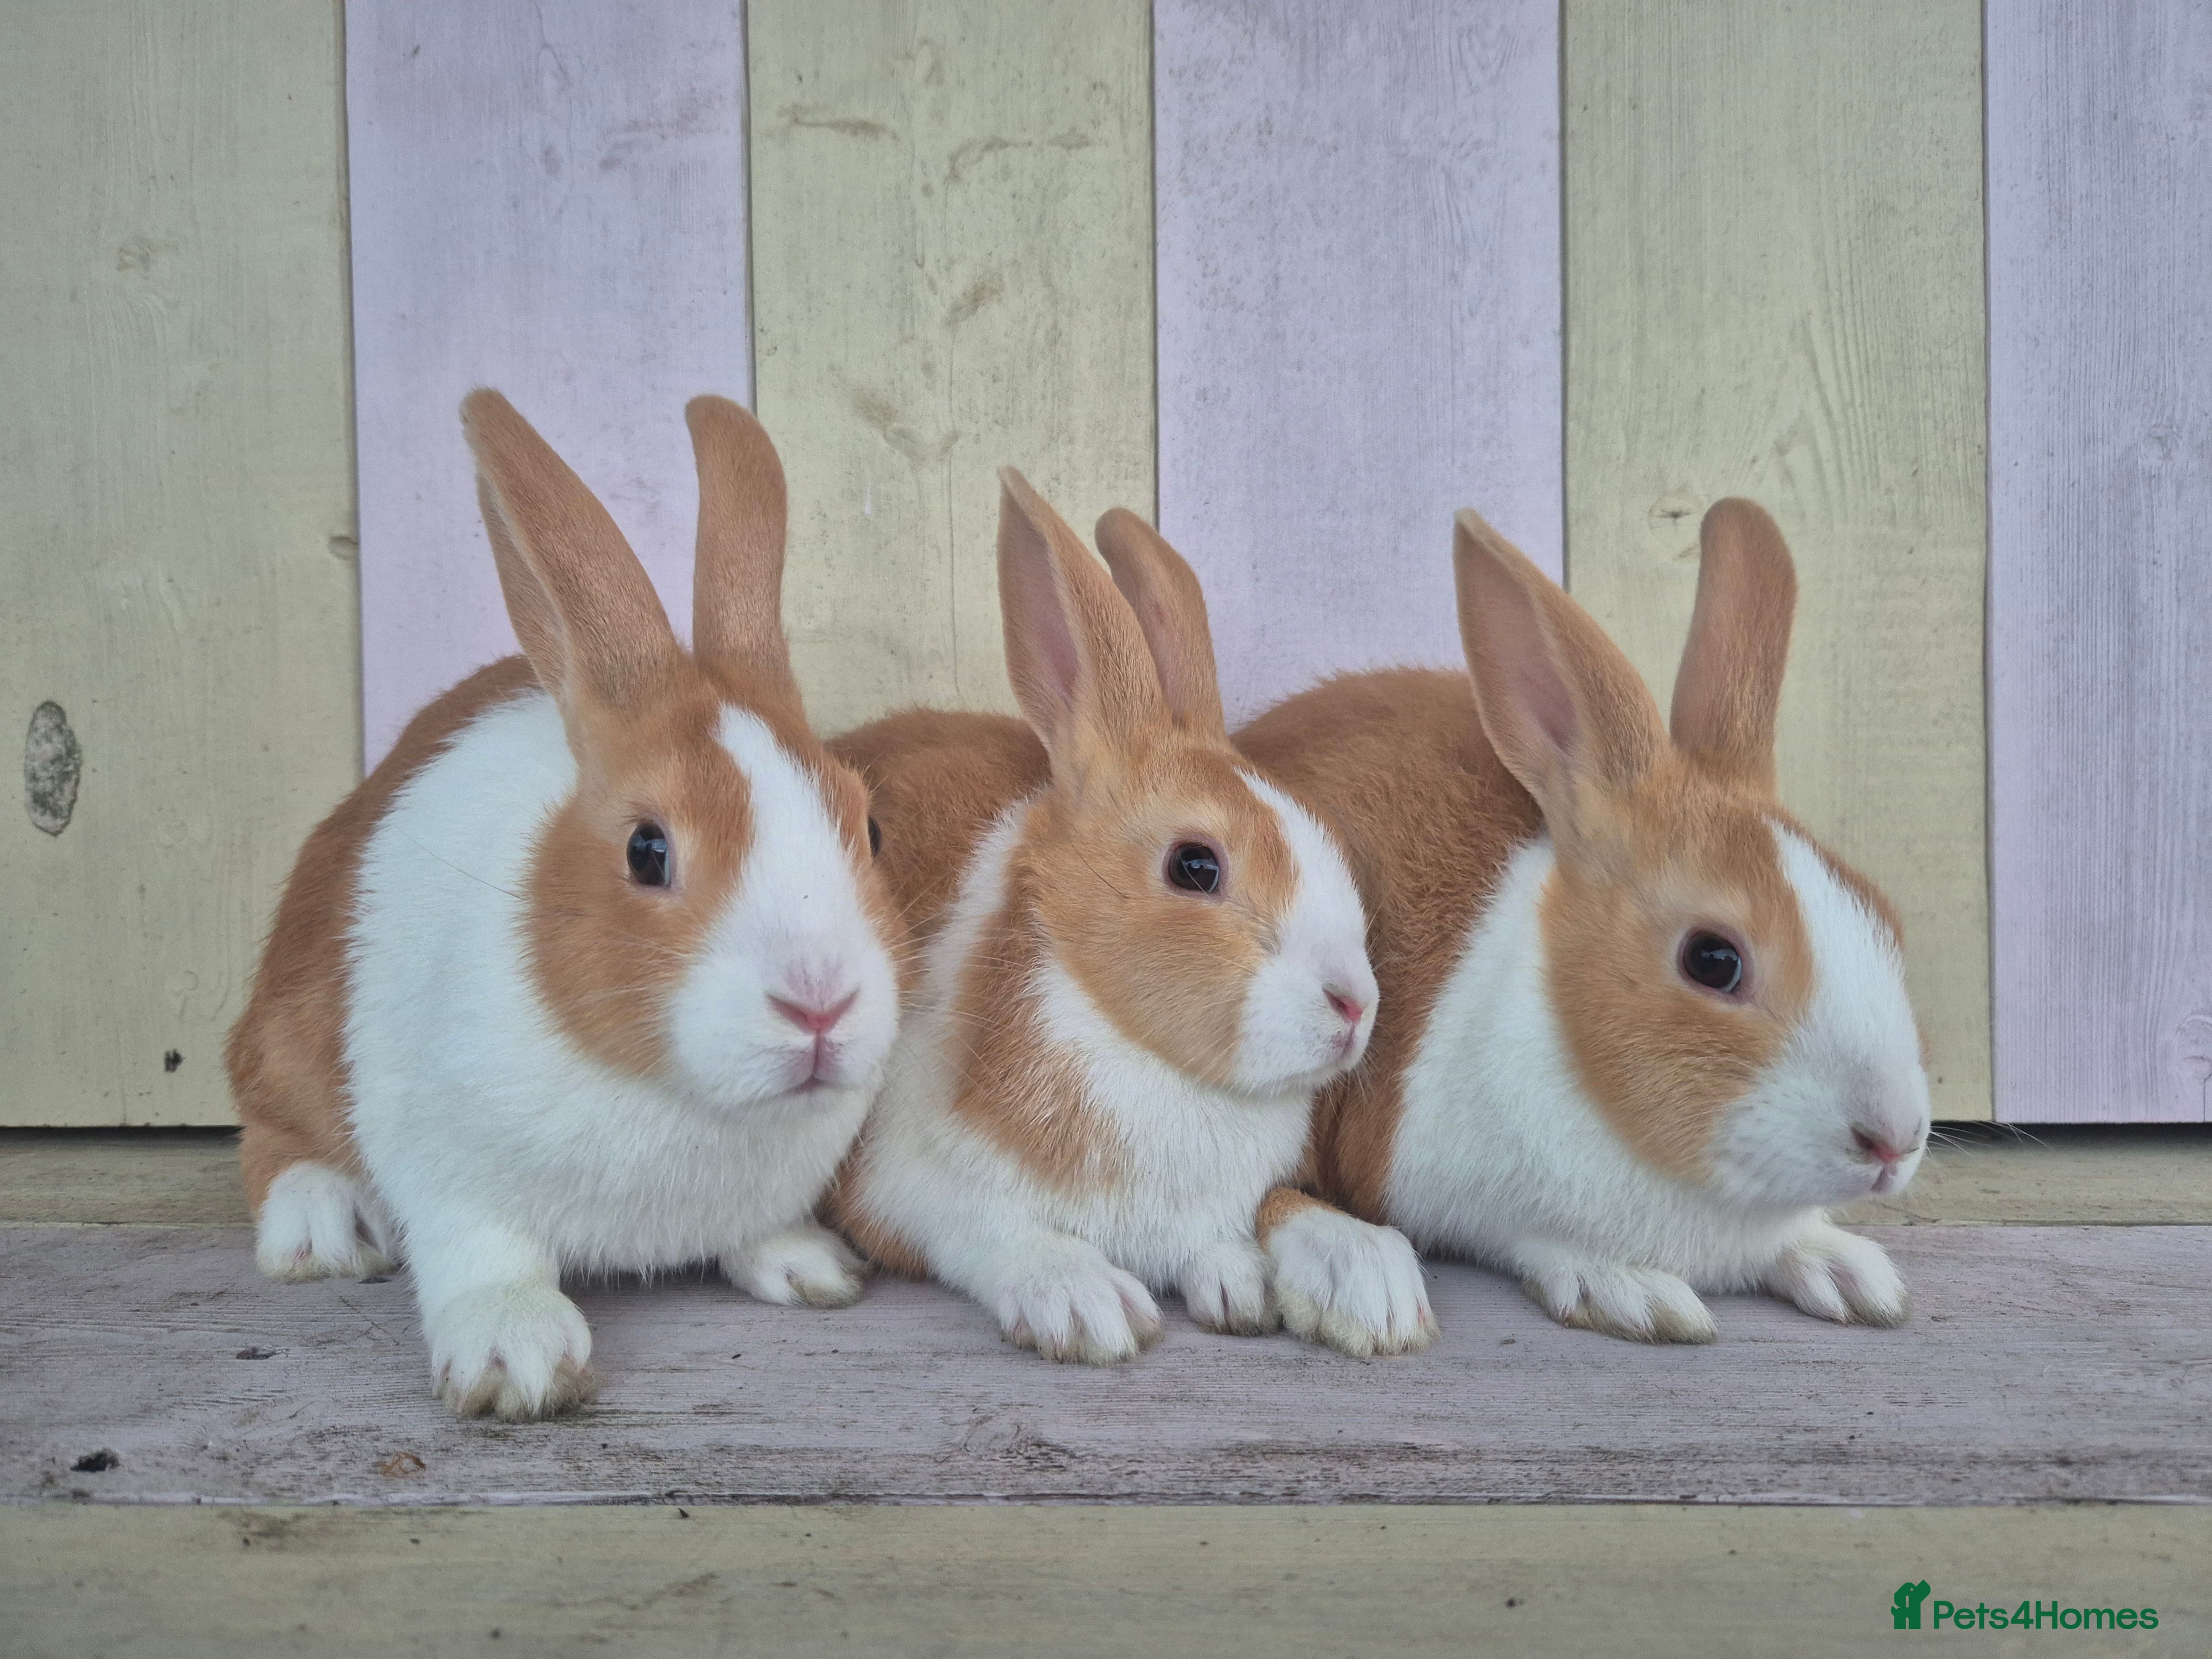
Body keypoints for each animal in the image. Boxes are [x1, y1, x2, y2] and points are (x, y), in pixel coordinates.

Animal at [224, 390, 902, 1418]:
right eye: (647, 851)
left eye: (870, 829)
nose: (820, 1005)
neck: (681, 1093)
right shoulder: (448, 1170)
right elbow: (485, 1260)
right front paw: (518, 1362)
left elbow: (764, 1230)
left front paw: (811, 1268)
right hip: (294, 1020)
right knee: (267, 1123)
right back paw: (323, 1228)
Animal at [828, 474, 1436, 1363]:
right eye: (1196, 866)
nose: (1356, 1006)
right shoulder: (906, 1186)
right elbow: (997, 1231)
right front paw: (1087, 1307)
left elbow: (1239, 1233)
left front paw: (1250, 1286)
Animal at [1234, 499, 1931, 1343]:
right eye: (1713, 960)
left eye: (1886, 916)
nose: (1894, 1141)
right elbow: (1534, 1238)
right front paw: (1634, 1291)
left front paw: (1849, 1271)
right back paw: (1362, 1278)